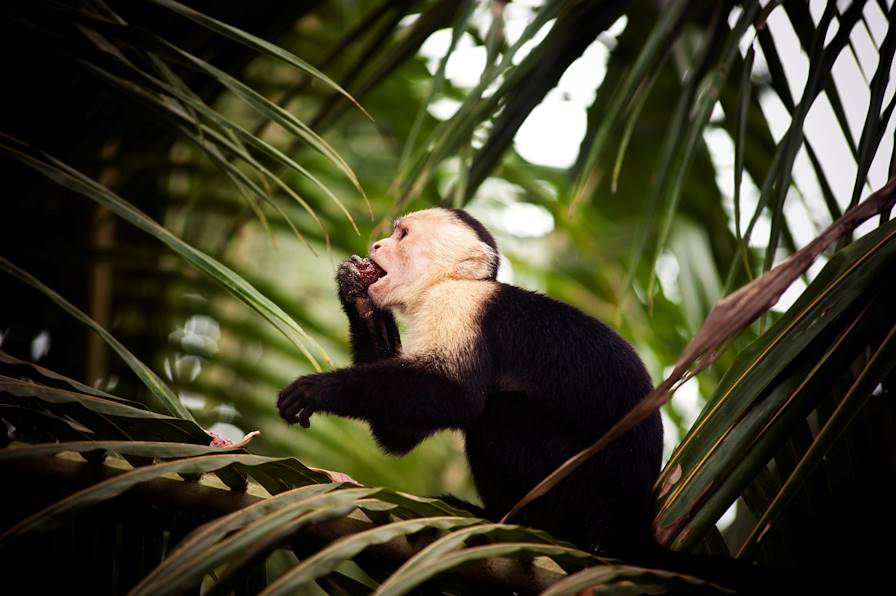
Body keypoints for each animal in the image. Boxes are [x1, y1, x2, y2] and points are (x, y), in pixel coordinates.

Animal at [276, 208, 660, 560]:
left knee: (498, 413)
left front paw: (319, 389)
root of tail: (635, 523)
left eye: (402, 235)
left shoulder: (459, 306)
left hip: (585, 489)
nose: (376, 245)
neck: (453, 281)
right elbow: (399, 433)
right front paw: (354, 290)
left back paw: (513, 523)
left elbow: (459, 399)